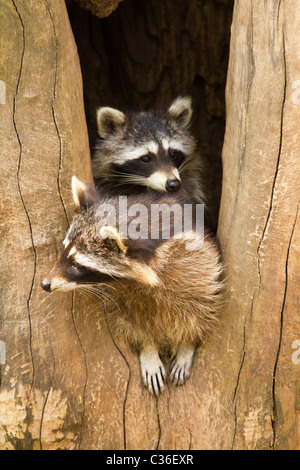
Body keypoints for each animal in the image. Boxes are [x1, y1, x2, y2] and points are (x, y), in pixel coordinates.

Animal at [41, 176, 223, 392]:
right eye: (63, 251)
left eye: (76, 265)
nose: (45, 284)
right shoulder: (123, 292)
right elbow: (132, 319)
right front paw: (148, 348)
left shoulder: (198, 260)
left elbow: (200, 307)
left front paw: (187, 344)